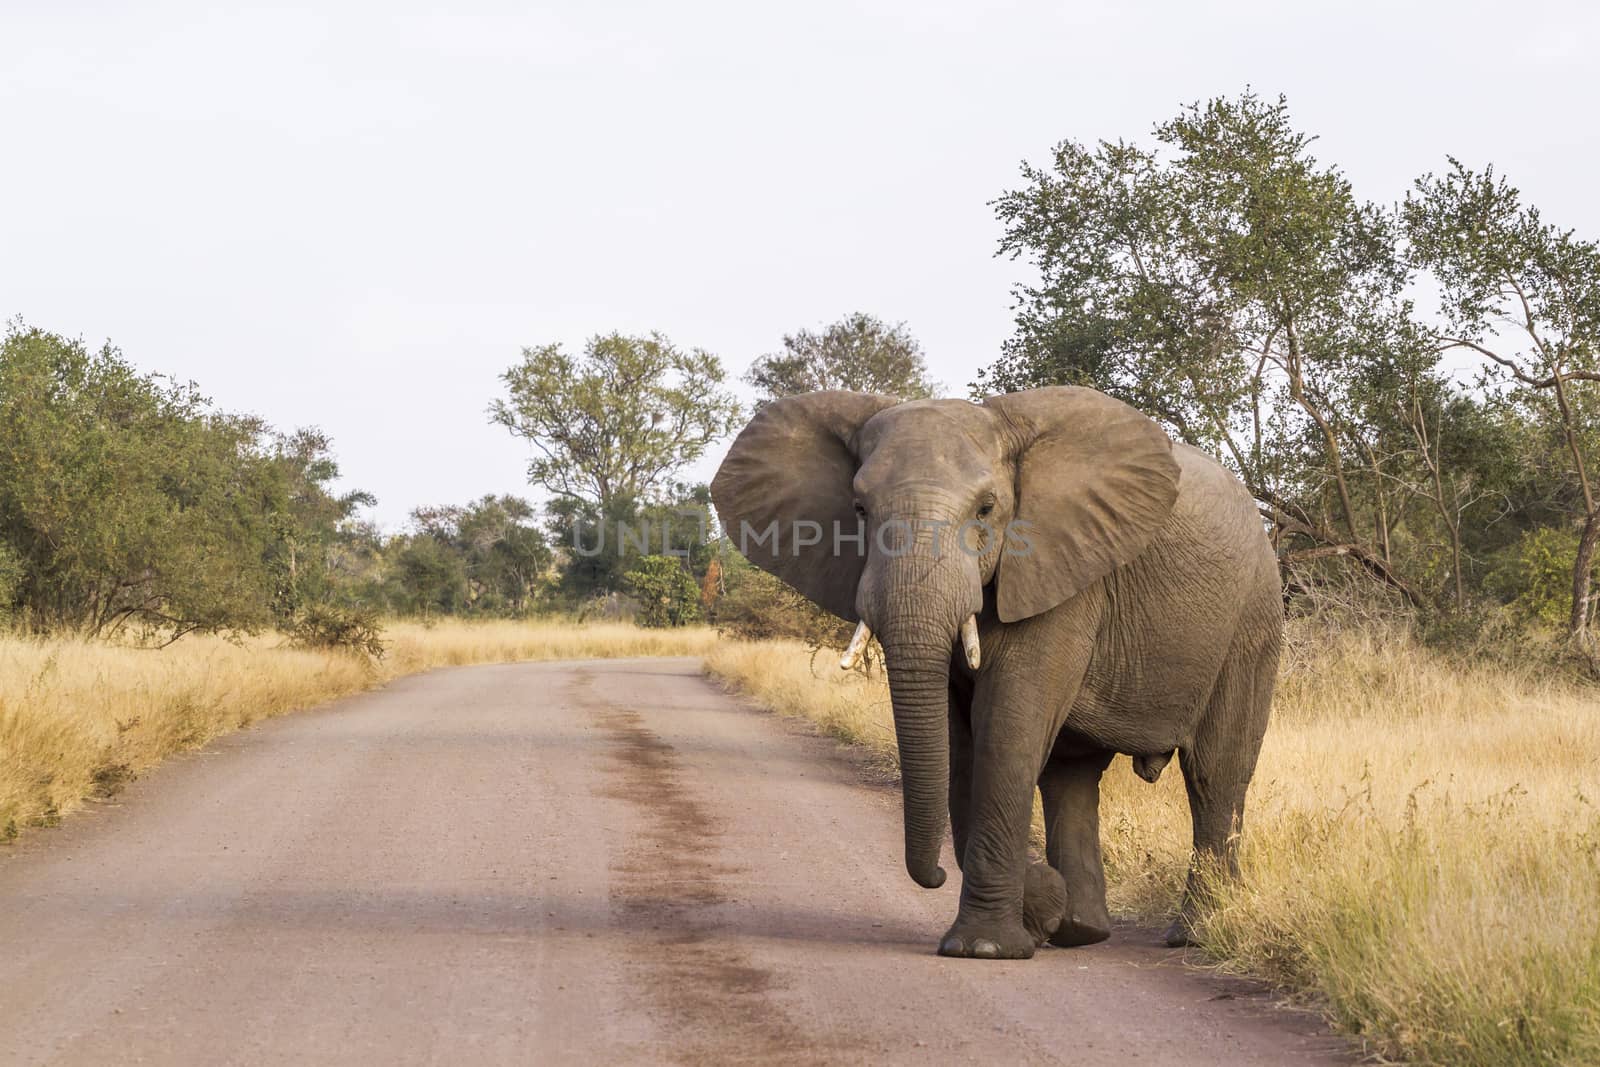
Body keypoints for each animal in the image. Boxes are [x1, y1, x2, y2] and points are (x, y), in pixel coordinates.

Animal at [720, 385, 1280, 959]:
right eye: (858, 510)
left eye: (986, 509)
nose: (936, 876)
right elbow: (958, 742)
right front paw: (1037, 910)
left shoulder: (1058, 569)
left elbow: (1006, 728)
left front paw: (985, 949)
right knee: (1072, 777)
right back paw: (1080, 930)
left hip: (1251, 618)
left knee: (1216, 773)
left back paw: (1191, 936)